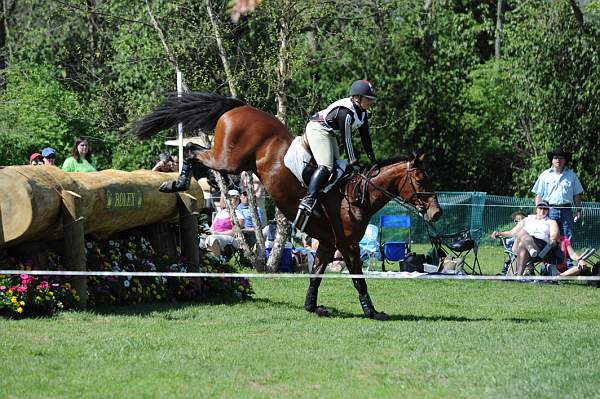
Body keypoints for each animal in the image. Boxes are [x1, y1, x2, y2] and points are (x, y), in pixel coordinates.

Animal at [137, 92, 446, 320]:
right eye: (420, 179)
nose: (436, 212)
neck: (358, 195)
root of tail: (241, 107)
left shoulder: (328, 242)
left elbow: (316, 275)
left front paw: (312, 306)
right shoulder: (347, 244)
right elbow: (359, 278)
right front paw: (372, 312)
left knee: (194, 151)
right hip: (229, 158)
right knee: (192, 150)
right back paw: (176, 184)